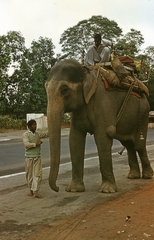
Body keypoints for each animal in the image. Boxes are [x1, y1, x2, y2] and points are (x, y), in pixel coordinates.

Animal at [45, 58, 153, 193]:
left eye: (64, 89)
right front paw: (74, 189)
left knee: (138, 145)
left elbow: (103, 137)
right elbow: (75, 139)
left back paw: (147, 176)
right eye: (46, 88)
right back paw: (133, 176)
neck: (87, 72)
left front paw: (107, 190)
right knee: (128, 144)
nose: (58, 188)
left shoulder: (103, 102)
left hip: (143, 113)